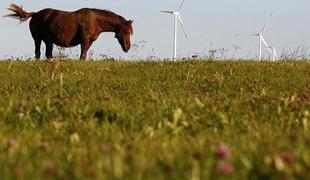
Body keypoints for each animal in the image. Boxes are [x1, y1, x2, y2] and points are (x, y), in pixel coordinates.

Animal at [5, 3, 133, 59]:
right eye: (126, 32)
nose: (127, 48)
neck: (95, 20)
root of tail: (35, 14)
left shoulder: (89, 42)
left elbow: (84, 54)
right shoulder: (85, 40)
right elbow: (83, 55)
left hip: (47, 41)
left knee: (46, 54)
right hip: (38, 39)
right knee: (39, 53)